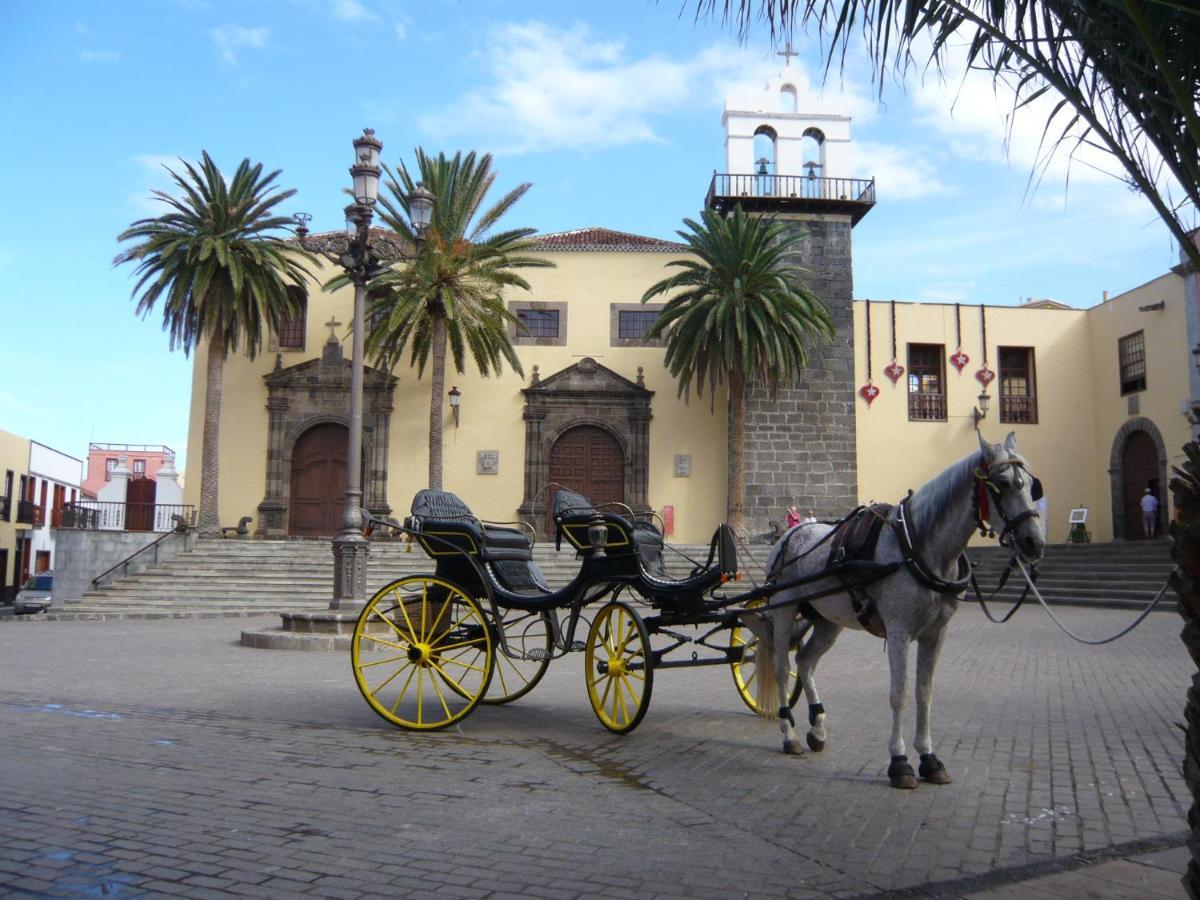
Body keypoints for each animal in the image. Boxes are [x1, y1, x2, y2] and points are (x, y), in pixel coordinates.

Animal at [744, 432, 1046, 787]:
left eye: (1031, 484)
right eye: (1002, 483)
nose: (1034, 542)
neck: (916, 547)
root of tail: (791, 533)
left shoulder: (935, 634)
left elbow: (924, 693)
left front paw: (929, 757)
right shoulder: (900, 631)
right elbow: (899, 694)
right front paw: (900, 761)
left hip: (829, 620)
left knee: (805, 662)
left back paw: (817, 728)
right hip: (784, 608)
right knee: (782, 668)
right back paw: (788, 733)